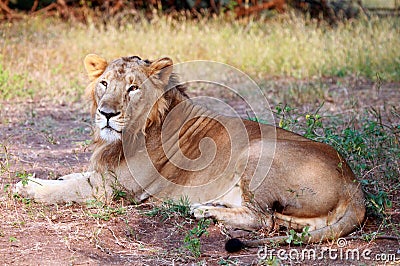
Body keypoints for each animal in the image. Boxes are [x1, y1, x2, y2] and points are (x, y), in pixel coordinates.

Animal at [15, 54, 366, 249]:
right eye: (103, 84)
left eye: (133, 88)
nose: (106, 113)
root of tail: (354, 184)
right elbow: (73, 175)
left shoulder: (115, 187)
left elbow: (68, 187)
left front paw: (27, 187)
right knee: (282, 222)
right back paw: (211, 207)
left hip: (258, 151)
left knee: (263, 220)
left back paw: (204, 210)